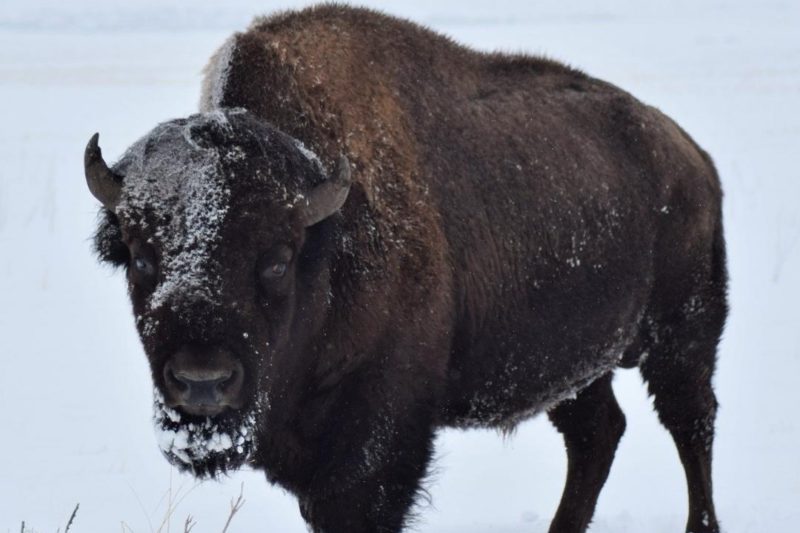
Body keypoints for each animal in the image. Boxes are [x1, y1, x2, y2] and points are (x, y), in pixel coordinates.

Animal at [84, 5, 728, 532]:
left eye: (278, 260)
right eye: (140, 256)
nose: (202, 381)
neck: (327, 237)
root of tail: (690, 155)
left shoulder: (380, 437)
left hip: (683, 335)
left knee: (690, 423)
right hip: (574, 361)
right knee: (597, 433)